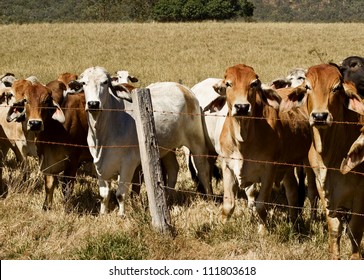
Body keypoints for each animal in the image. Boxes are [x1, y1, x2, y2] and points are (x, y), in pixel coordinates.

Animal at [78, 66, 212, 215]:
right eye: (84, 83)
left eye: (105, 82)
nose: (93, 104)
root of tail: (185, 89)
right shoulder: (99, 165)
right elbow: (104, 195)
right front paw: (103, 214)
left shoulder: (128, 163)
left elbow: (120, 194)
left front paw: (121, 214)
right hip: (167, 148)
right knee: (173, 169)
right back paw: (169, 198)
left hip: (196, 141)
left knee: (203, 169)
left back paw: (209, 198)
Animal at [206, 64, 312, 233]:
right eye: (228, 84)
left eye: (254, 83)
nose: (242, 107)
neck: (243, 140)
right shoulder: (227, 167)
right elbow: (228, 205)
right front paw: (222, 227)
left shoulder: (269, 170)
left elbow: (261, 205)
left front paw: (263, 231)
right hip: (287, 167)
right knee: (292, 191)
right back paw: (294, 221)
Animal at [282, 64, 364, 260]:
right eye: (308, 87)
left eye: (336, 88)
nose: (320, 116)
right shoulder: (323, 187)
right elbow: (334, 229)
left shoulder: (360, 193)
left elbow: (356, 232)